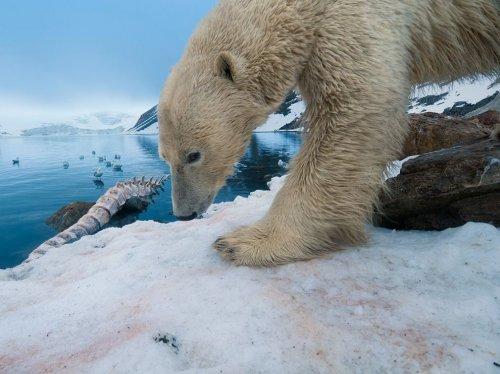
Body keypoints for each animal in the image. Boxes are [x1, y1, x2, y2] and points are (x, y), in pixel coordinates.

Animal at [157, 0, 500, 266]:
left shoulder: (353, 16)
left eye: (193, 155)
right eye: (165, 157)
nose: (183, 214)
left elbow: (354, 107)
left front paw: (245, 242)